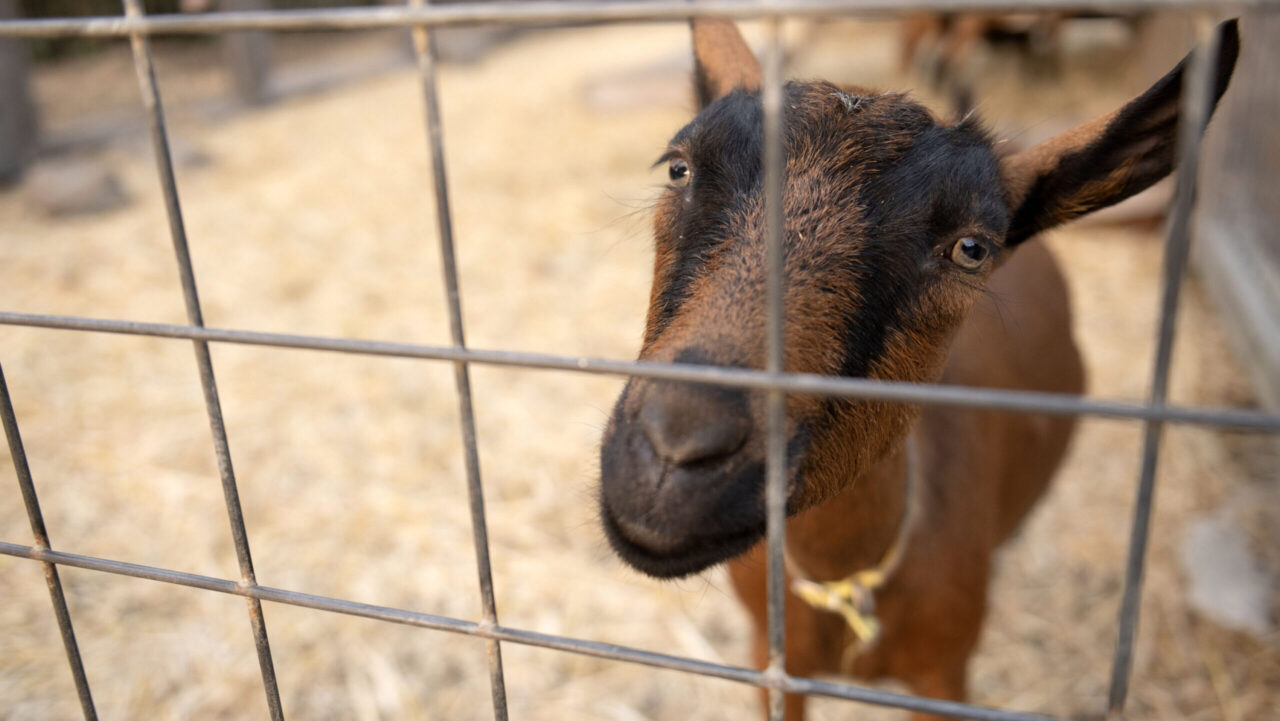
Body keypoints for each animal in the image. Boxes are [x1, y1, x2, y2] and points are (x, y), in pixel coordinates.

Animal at [598, 17, 1239, 721]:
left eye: (971, 248)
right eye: (678, 167)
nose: (675, 451)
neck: (846, 578)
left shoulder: (943, 678)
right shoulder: (771, 662)